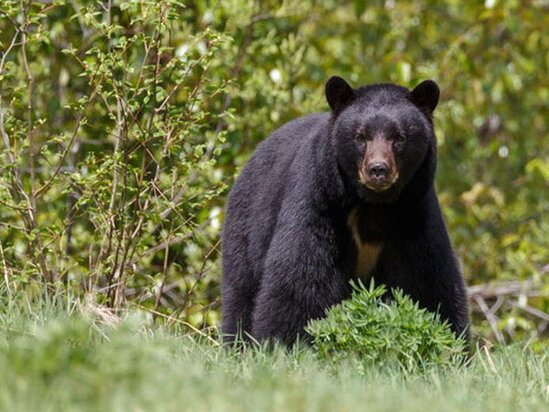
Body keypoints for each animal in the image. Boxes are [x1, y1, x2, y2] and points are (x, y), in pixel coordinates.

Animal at [220, 75, 468, 344]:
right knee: (241, 290)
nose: (378, 169)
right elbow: (301, 277)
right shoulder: (319, 201)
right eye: (360, 136)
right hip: (247, 223)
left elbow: (429, 281)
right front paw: (284, 343)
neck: (374, 205)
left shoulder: (414, 214)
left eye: (399, 137)